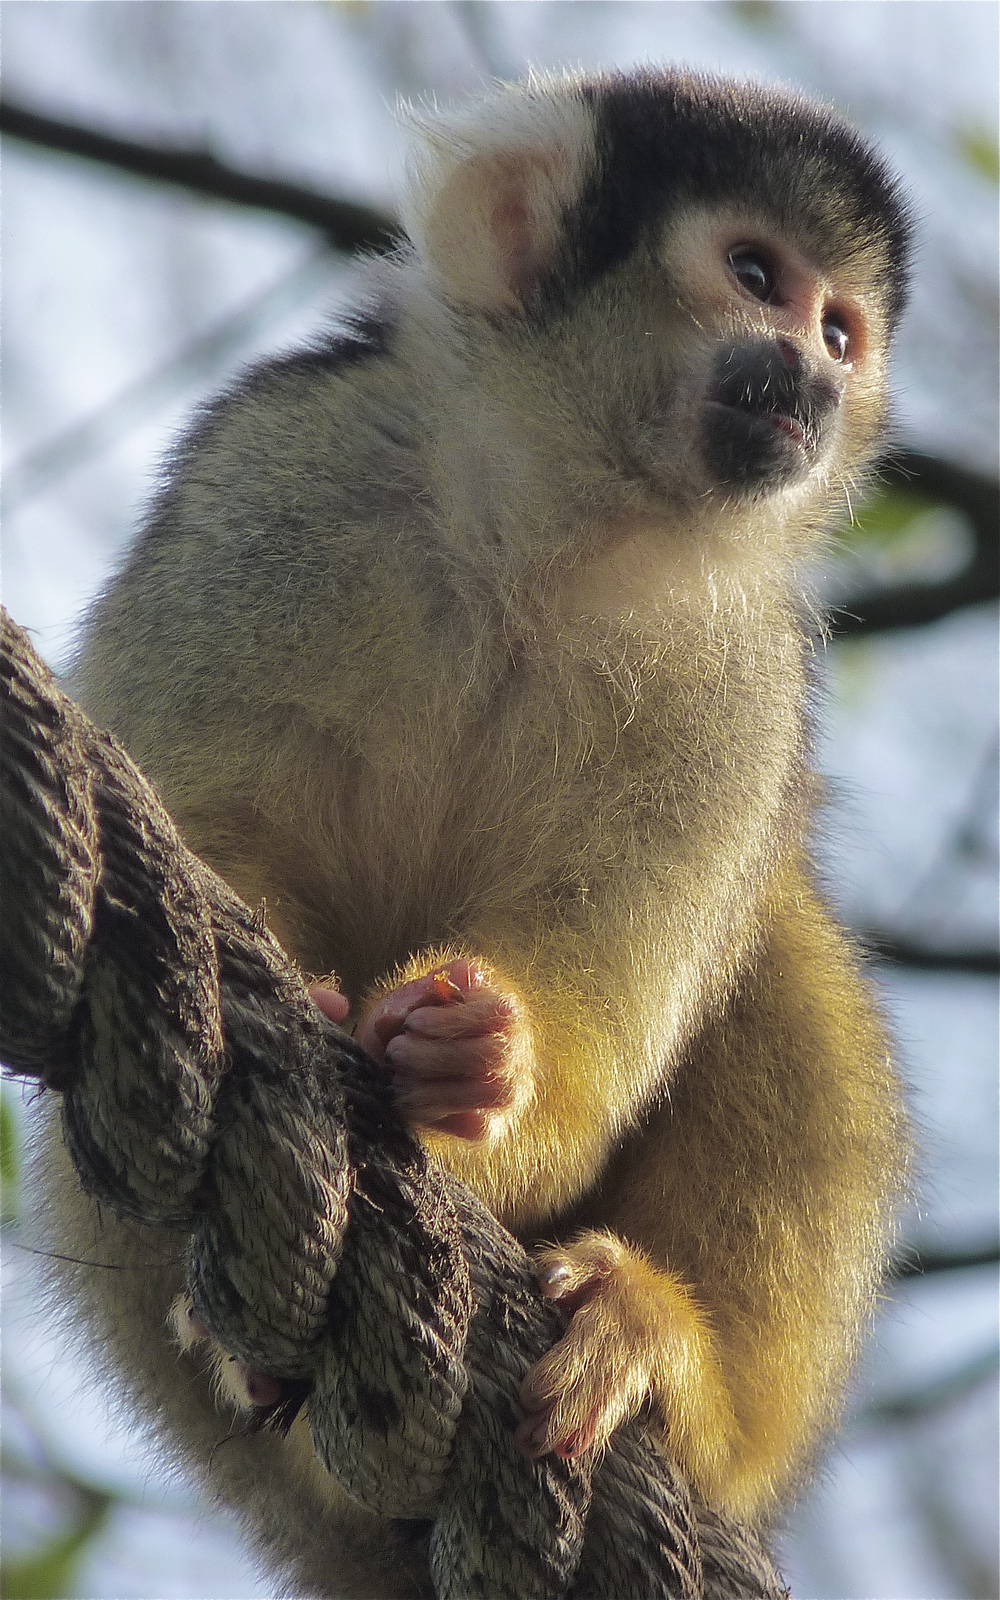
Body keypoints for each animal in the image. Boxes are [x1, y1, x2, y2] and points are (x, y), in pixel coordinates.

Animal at [33, 66, 912, 1599]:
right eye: (757, 275)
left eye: (841, 329)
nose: (811, 376)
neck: (554, 525)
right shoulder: (281, 470)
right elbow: (202, 831)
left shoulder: (743, 668)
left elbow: (601, 1025)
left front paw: (477, 1064)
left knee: (777, 947)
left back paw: (668, 1370)